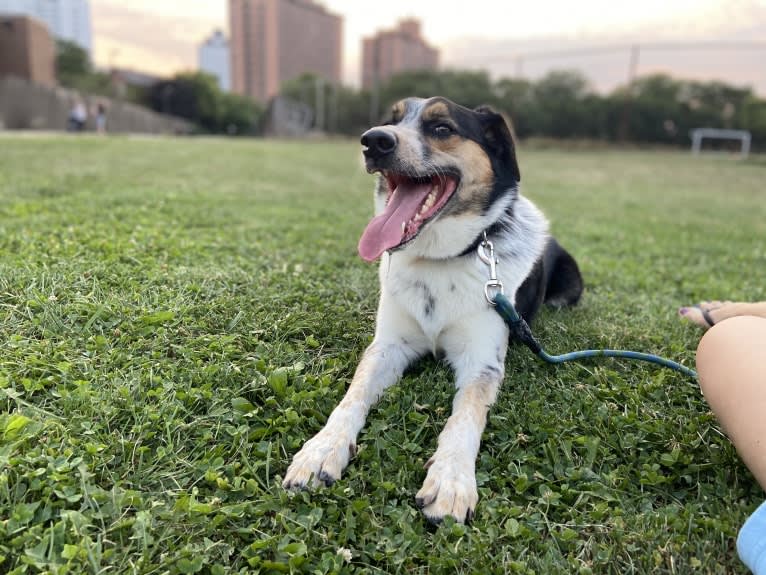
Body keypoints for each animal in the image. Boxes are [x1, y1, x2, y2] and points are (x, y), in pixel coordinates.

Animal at [282, 97, 584, 524]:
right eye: (391, 120)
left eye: (442, 128)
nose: (374, 141)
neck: (440, 260)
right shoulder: (388, 347)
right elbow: (353, 396)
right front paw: (322, 449)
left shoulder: (481, 361)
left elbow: (465, 418)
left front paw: (451, 481)